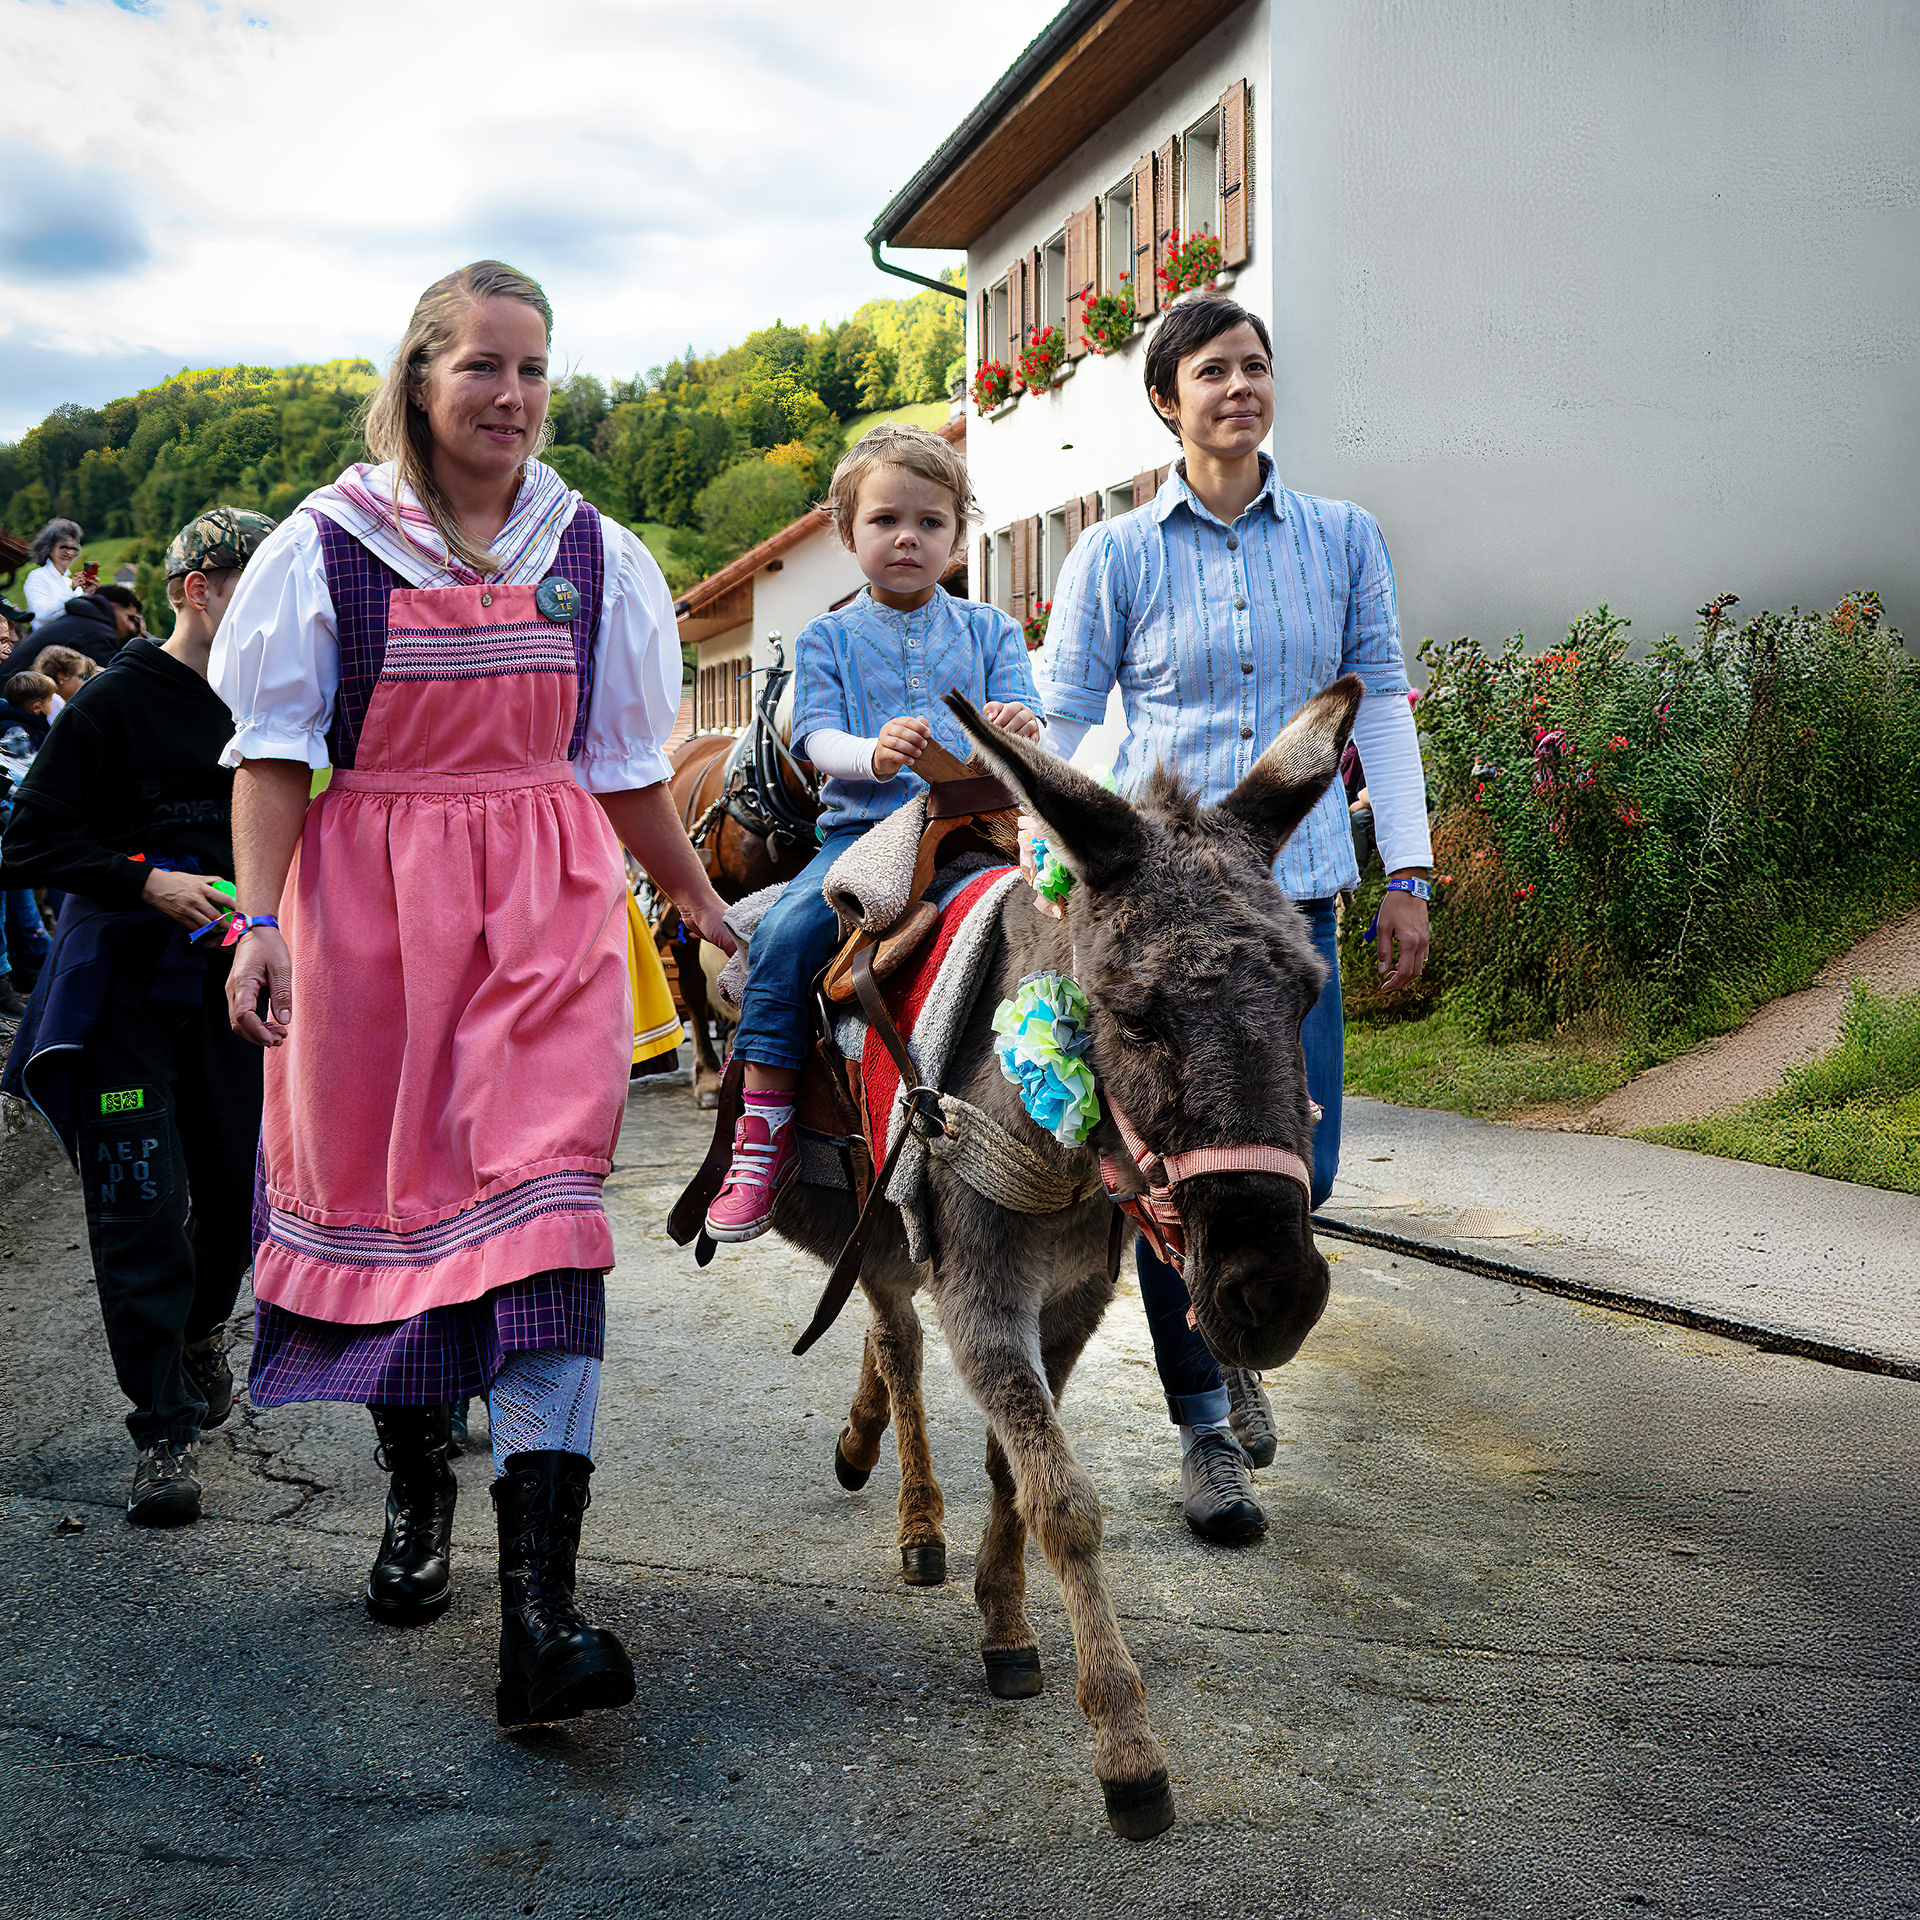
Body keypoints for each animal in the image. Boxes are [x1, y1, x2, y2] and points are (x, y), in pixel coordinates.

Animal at [769, 678, 1363, 1841]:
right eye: (1134, 1013)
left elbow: (1016, 1469)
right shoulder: (984, 1297)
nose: (1275, 1296)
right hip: (874, 1207)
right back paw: (912, 1510)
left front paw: (1005, 1625)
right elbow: (1066, 1503)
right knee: (897, 1340)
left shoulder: (1077, 1297)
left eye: (1310, 994)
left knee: (885, 1331)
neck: (1052, 1137)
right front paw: (1127, 1747)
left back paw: (866, 1450)